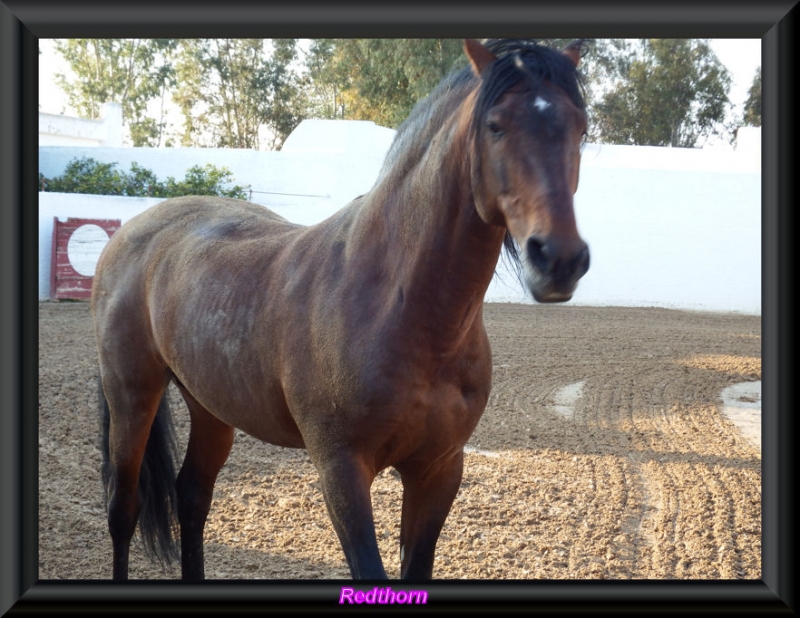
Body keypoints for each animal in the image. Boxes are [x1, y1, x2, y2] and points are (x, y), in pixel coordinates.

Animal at [94, 37, 592, 576]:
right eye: (495, 125)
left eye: (581, 129)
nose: (559, 259)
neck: (399, 309)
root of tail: (134, 229)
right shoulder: (342, 472)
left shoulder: (439, 469)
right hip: (132, 396)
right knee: (123, 509)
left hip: (210, 404)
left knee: (192, 497)